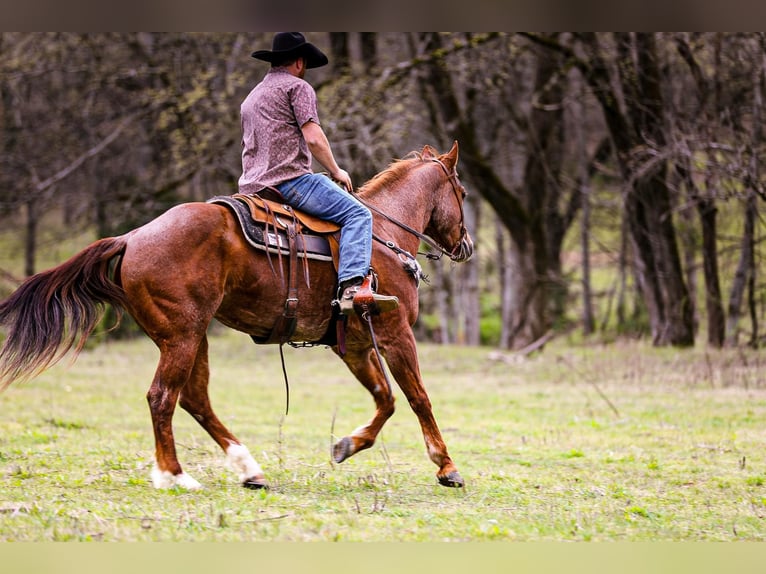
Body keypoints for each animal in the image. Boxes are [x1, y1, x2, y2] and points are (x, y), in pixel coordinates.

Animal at [0, 142, 474, 492]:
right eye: (463, 193)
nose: (466, 245)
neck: (382, 235)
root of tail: (132, 237)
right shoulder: (396, 334)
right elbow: (417, 397)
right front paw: (446, 466)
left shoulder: (353, 346)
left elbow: (385, 398)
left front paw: (348, 444)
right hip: (183, 335)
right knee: (162, 396)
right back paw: (175, 475)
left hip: (191, 336)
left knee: (194, 399)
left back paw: (248, 468)